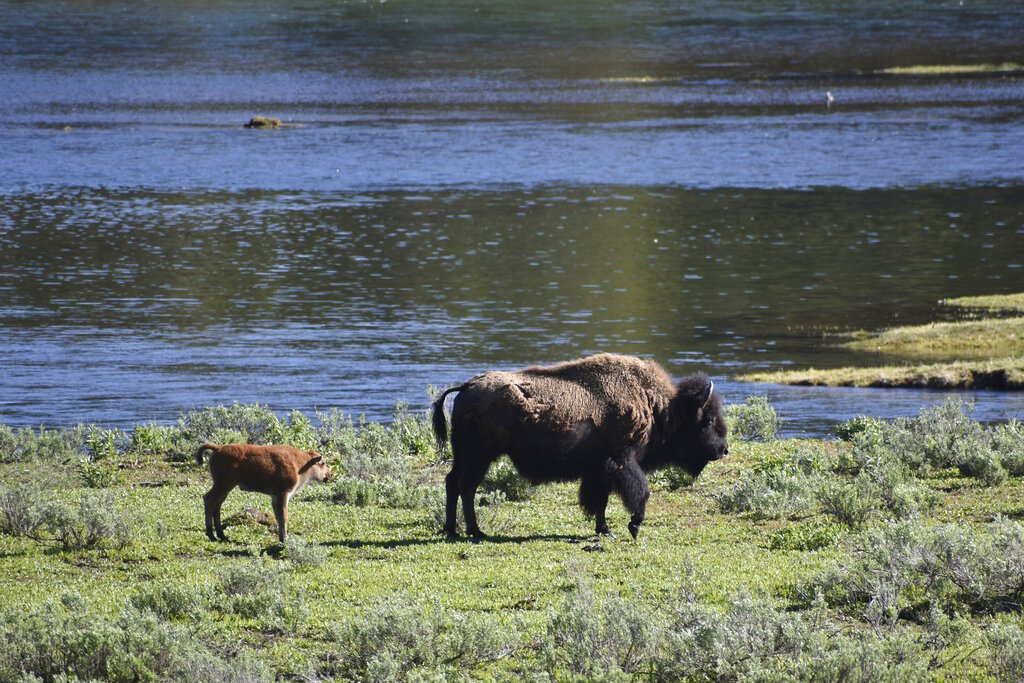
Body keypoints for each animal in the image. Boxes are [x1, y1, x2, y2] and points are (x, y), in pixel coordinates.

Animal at [433, 353, 728, 539]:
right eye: (708, 419)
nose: (724, 450)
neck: (659, 407)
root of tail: (467, 386)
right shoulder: (623, 462)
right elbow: (640, 492)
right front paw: (633, 526)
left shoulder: (601, 471)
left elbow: (601, 501)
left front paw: (605, 530)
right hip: (479, 457)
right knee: (466, 486)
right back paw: (474, 531)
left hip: (465, 456)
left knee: (452, 482)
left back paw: (452, 529)